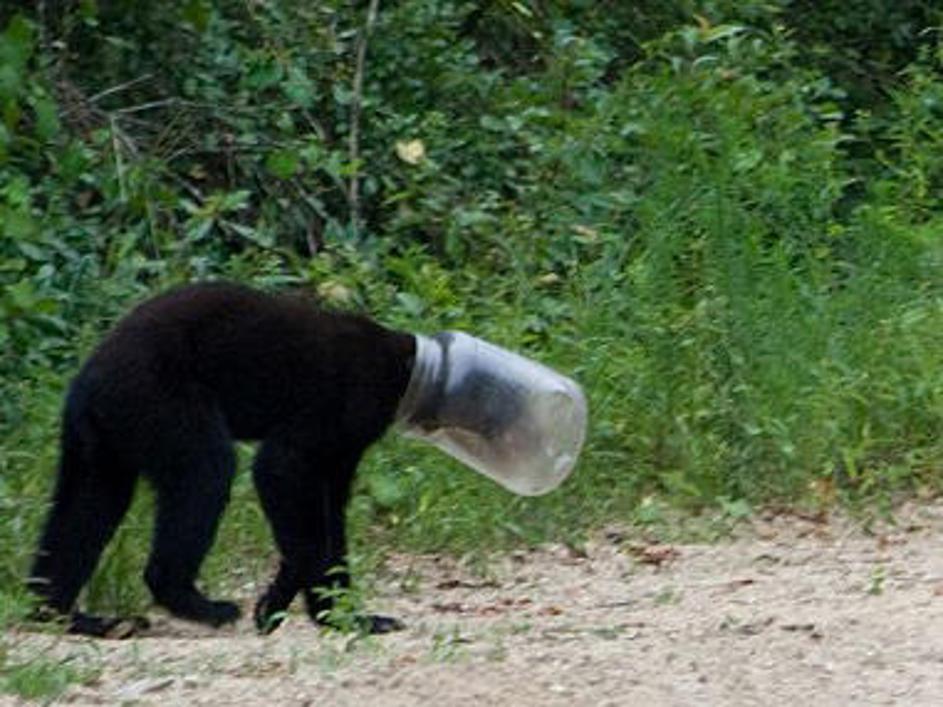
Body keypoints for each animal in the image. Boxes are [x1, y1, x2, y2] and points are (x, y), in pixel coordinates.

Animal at [26, 284, 412, 640]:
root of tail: (87, 379)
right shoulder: (344, 400)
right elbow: (280, 467)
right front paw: (272, 606)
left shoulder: (346, 443)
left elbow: (332, 511)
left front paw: (352, 617)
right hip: (159, 397)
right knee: (205, 471)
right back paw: (203, 605)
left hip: (102, 438)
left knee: (88, 504)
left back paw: (73, 617)